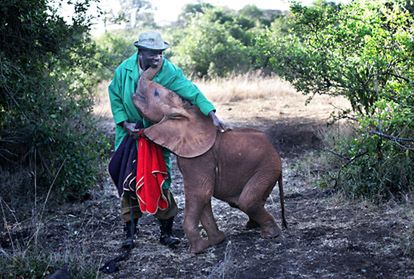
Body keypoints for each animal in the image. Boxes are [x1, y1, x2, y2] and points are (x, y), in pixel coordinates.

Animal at [134, 64, 286, 254]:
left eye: (155, 93)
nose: (157, 61)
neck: (187, 110)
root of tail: (276, 152)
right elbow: (204, 197)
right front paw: (216, 241)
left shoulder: (200, 158)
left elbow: (200, 193)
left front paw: (197, 249)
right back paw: (253, 226)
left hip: (267, 167)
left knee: (247, 201)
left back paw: (270, 234)